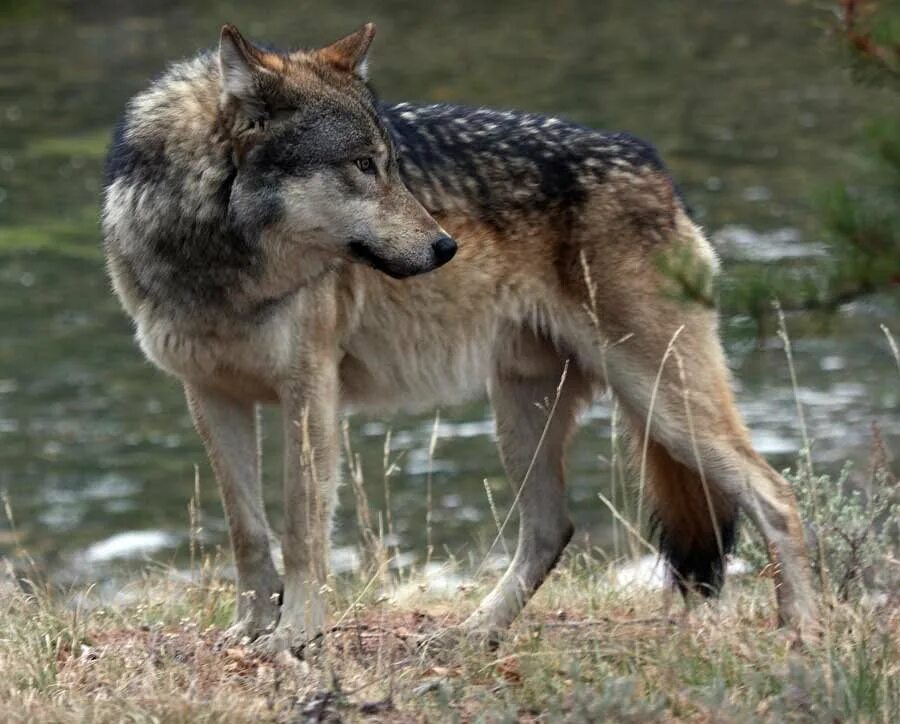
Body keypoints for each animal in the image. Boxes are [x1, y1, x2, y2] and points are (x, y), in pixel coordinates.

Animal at [102, 24, 820, 656]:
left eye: (391, 166)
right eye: (363, 166)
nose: (447, 247)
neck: (216, 260)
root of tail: (657, 168)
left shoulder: (310, 391)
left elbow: (303, 527)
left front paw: (295, 637)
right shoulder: (210, 394)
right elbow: (247, 530)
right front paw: (250, 631)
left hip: (660, 400)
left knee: (776, 495)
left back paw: (804, 631)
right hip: (529, 412)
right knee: (551, 529)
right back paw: (474, 633)